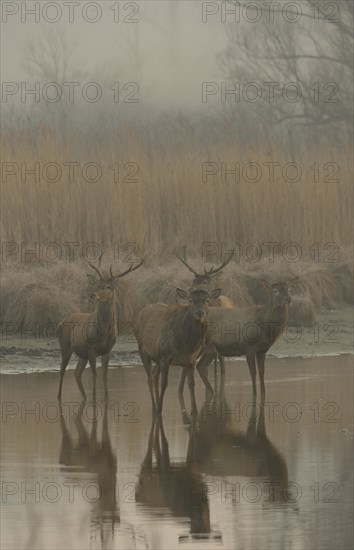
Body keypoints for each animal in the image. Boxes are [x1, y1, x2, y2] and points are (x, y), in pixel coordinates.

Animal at [57, 254, 143, 402]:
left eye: (108, 286)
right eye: (97, 284)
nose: (92, 294)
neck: (104, 332)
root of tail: (60, 323)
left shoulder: (107, 350)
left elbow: (104, 376)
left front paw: (106, 399)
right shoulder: (91, 348)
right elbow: (94, 375)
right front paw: (95, 400)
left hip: (82, 354)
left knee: (76, 373)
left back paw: (84, 397)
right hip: (65, 346)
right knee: (62, 370)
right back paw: (59, 397)